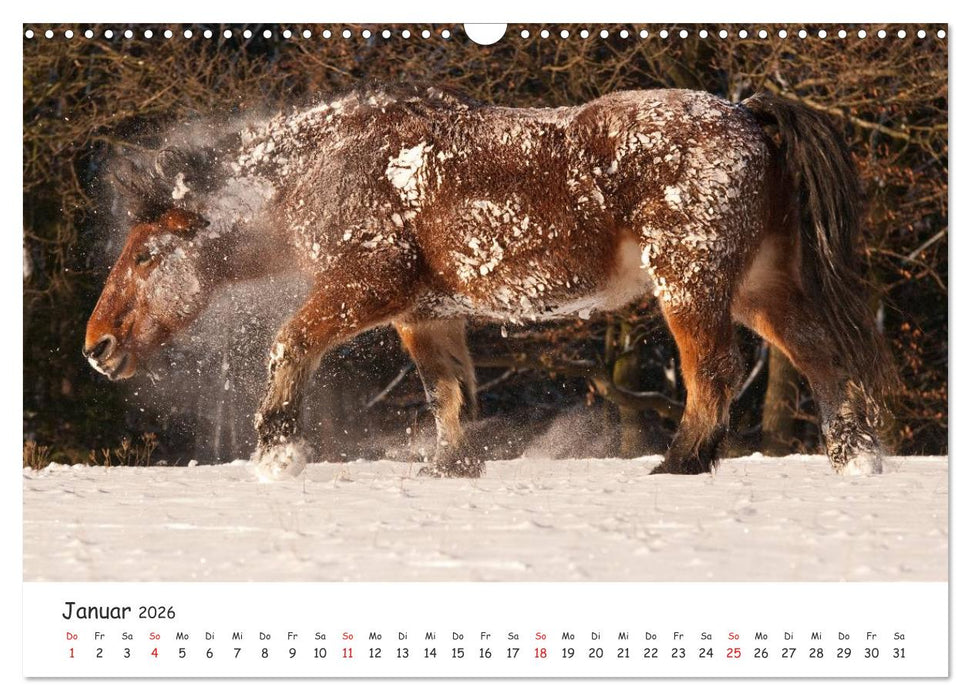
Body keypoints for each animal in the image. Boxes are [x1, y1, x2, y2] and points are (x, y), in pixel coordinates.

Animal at [84, 85, 894, 477]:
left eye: (146, 256)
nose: (97, 347)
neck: (330, 166)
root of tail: (751, 117)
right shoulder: (424, 314)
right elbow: (448, 395)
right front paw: (450, 467)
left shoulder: (367, 289)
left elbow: (290, 343)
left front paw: (278, 451)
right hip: (761, 289)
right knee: (826, 360)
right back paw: (855, 460)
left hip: (691, 285)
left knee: (714, 373)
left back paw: (682, 463)